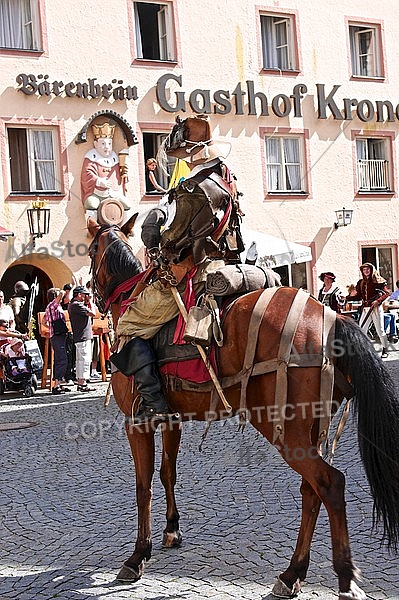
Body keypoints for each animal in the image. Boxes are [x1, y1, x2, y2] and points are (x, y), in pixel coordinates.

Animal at [87, 217, 399, 600]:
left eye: (91, 251)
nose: (92, 295)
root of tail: (331, 319)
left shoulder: (137, 423)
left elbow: (142, 485)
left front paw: (137, 555)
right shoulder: (171, 419)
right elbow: (167, 474)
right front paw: (172, 531)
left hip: (285, 431)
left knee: (329, 484)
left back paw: (344, 578)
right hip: (306, 432)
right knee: (310, 491)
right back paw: (292, 574)